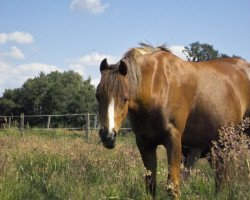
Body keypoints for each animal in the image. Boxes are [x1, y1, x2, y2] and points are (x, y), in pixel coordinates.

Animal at [96, 43, 250, 198]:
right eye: (98, 96)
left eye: (125, 98)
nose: (108, 136)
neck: (157, 87)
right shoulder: (145, 144)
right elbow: (151, 186)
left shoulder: (173, 141)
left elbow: (172, 188)